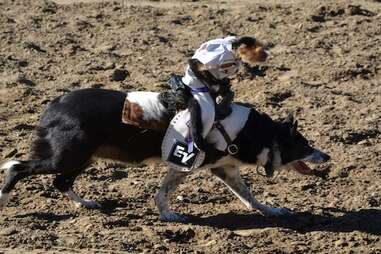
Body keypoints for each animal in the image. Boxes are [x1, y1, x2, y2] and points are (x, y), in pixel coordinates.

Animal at [0, 88, 328, 221]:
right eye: (304, 146)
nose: (326, 158)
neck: (253, 132)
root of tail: (53, 105)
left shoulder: (224, 169)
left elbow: (249, 196)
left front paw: (273, 211)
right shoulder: (185, 165)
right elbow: (164, 192)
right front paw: (169, 215)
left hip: (82, 157)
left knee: (61, 182)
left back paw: (88, 203)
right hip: (67, 156)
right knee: (18, 167)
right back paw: (3, 200)